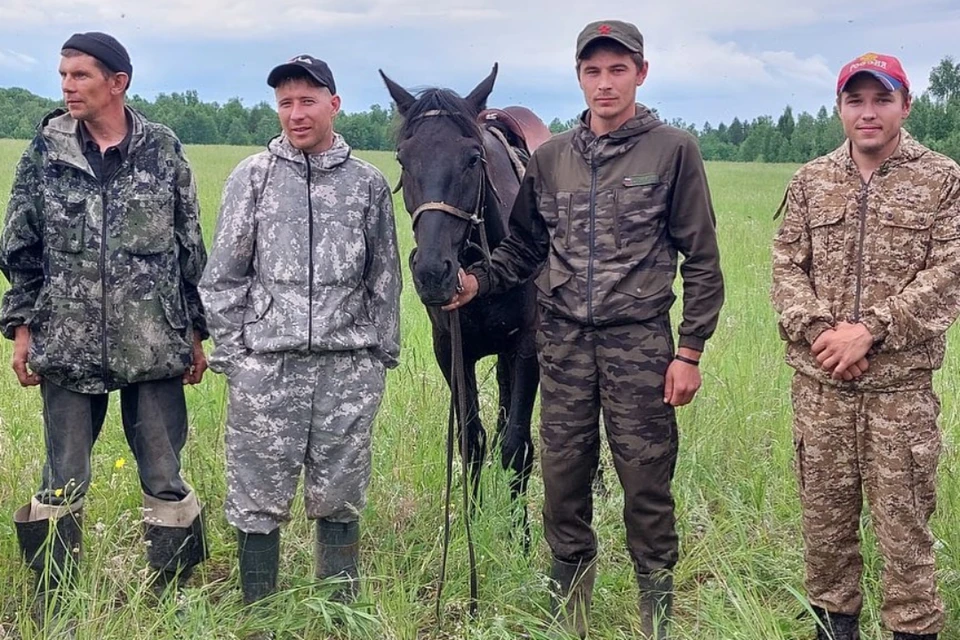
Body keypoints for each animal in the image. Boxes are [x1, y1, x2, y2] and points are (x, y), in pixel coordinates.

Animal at [382, 66, 544, 536]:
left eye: (473, 158)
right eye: (404, 159)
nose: (433, 272)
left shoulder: (527, 348)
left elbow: (516, 446)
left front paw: (520, 537)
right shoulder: (451, 351)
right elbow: (471, 439)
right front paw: (471, 522)